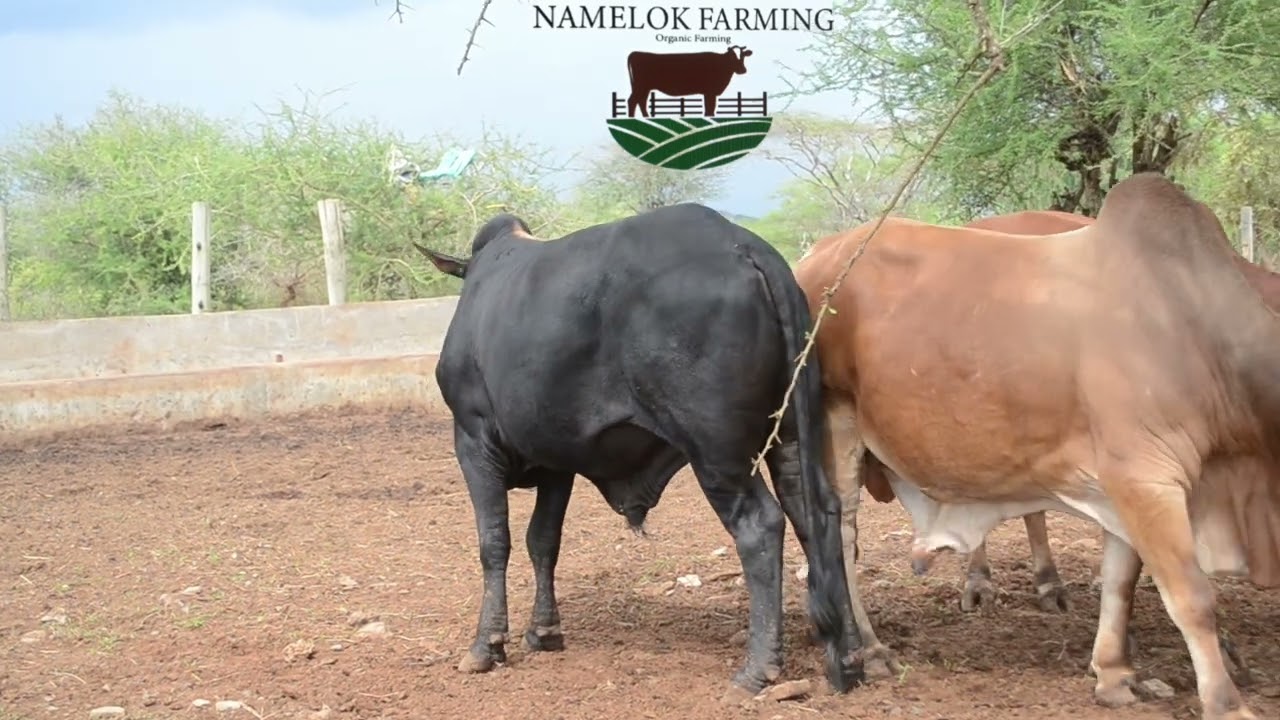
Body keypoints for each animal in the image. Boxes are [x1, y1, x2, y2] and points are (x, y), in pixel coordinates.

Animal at [413, 205, 863, 699]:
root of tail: (743, 245)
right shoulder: (556, 461)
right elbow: (543, 541)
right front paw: (544, 632)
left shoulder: (473, 441)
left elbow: (495, 543)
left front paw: (486, 645)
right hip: (791, 434)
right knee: (817, 512)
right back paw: (848, 655)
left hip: (717, 452)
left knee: (760, 525)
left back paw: (758, 669)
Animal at [792, 173, 1279, 720]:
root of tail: (815, 256)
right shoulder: (1146, 476)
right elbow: (1193, 597)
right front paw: (1226, 703)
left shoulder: (1120, 483)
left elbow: (1120, 581)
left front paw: (1115, 674)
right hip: (834, 420)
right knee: (839, 535)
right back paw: (871, 651)